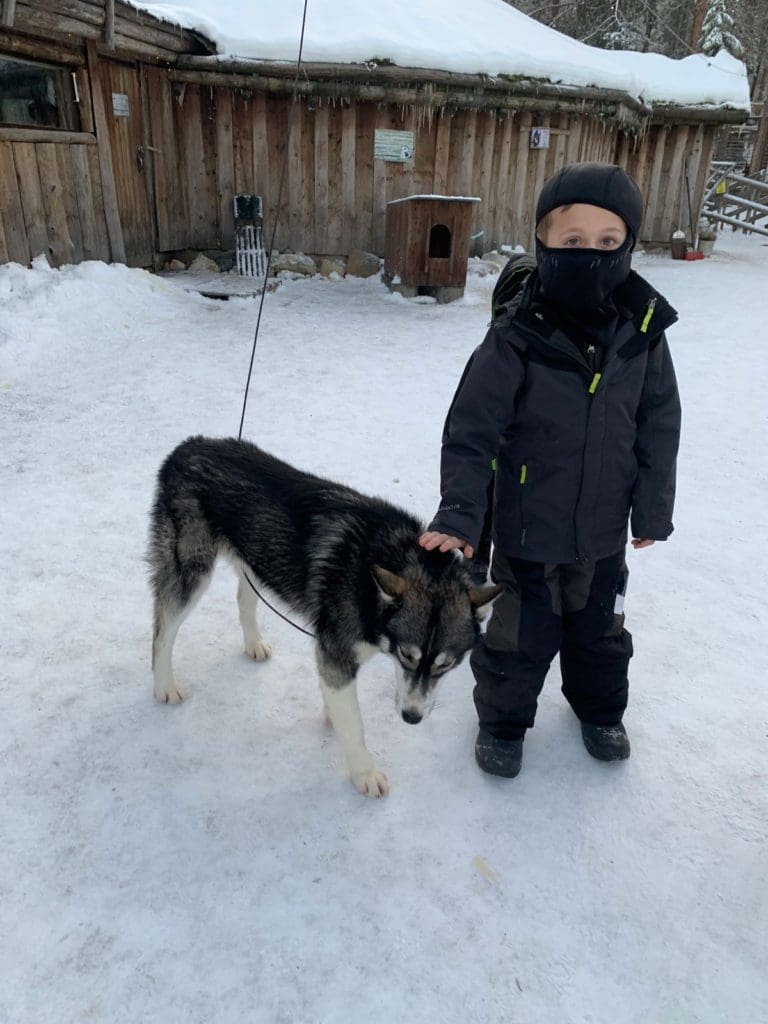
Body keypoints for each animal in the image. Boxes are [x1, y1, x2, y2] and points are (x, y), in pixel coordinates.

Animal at [148, 436, 501, 794]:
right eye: (406, 655)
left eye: (446, 664)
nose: (411, 717)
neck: (369, 579)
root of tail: (188, 446)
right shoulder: (338, 655)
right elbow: (354, 723)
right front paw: (364, 773)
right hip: (190, 571)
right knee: (163, 630)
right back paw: (165, 684)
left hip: (256, 559)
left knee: (244, 598)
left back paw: (253, 643)